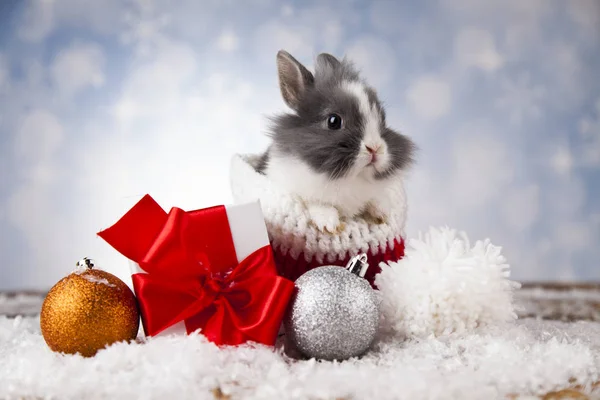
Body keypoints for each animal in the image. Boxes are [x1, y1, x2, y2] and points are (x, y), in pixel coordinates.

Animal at [255, 50, 414, 234]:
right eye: (333, 121)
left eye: (383, 119)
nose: (375, 148)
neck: (348, 178)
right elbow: (316, 203)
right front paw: (329, 224)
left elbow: (375, 198)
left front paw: (383, 213)